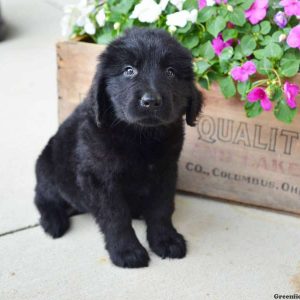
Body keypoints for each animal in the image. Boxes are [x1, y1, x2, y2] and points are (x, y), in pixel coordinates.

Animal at [35, 27, 204, 268]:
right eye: (129, 70)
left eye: (170, 72)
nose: (150, 101)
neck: (140, 137)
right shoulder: (100, 179)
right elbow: (116, 216)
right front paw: (126, 250)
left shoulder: (166, 171)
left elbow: (161, 208)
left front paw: (166, 239)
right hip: (48, 168)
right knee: (42, 197)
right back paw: (53, 220)